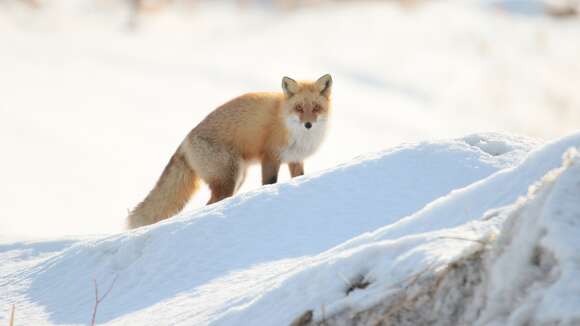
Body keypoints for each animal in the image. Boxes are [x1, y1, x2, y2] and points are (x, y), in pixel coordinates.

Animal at [129, 74, 334, 228]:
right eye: (299, 108)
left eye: (316, 108)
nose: (308, 124)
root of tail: (185, 140)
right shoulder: (270, 156)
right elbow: (269, 183)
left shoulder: (295, 159)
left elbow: (299, 177)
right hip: (229, 178)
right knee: (210, 204)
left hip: (238, 178)